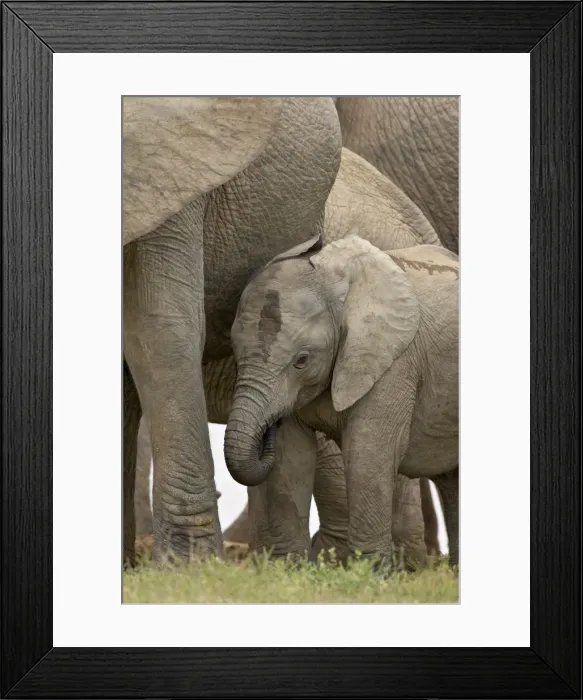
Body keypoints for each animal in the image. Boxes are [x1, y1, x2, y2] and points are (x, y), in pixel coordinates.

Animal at [224, 235, 459, 567]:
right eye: (235, 351)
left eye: (302, 360)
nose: (269, 426)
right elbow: (291, 457)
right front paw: (287, 571)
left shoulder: (393, 362)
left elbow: (367, 451)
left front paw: (371, 574)